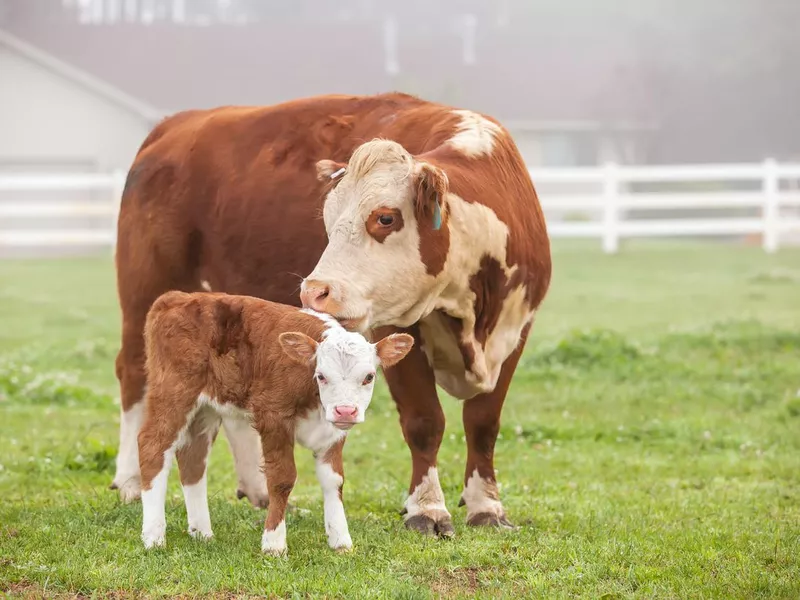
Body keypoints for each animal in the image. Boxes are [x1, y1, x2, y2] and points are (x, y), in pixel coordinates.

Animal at [137, 290, 412, 552]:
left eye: (369, 377)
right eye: (322, 376)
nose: (345, 411)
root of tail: (177, 297)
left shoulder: (333, 431)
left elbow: (334, 481)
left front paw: (341, 541)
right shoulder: (273, 417)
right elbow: (282, 479)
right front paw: (274, 543)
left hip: (205, 409)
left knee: (192, 457)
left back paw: (202, 533)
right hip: (173, 392)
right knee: (152, 446)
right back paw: (154, 537)